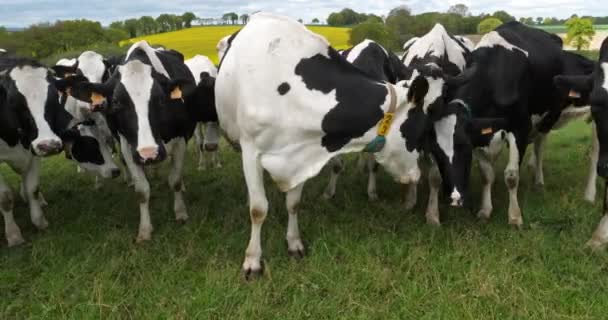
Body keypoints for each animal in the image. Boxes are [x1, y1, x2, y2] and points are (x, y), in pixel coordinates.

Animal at [66, 40, 200, 241]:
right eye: (116, 102)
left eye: (160, 99)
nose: (149, 153)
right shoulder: (128, 148)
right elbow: (142, 190)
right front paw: (144, 230)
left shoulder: (180, 140)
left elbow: (175, 179)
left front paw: (180, 213)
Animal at [217, 12, 470, 278]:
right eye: (419, 131)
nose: (414, 176)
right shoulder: (251, 152)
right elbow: (258, 209)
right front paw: (253, 261)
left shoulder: (303, 151)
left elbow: (293, 204)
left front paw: (294, 243)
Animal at [434, 21, 596, 228]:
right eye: (436, 151)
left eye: (462, 147)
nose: (454, 199)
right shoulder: (478, 132)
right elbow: (486, 174)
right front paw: (485, 209)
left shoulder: (520, 128)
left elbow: (511, 176)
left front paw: (514, 216)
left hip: (548, 116)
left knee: (540, 145)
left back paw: (538, 181)